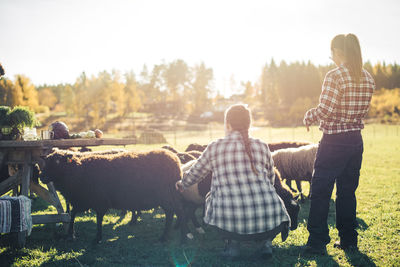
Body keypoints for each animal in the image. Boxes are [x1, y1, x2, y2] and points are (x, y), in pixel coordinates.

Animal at [40, 149, 189, 245]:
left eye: (57, 162)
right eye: (46, 162)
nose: (41, 177)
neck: (78, 171)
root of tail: (176, 161)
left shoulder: (99, 200)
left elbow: (98, 218)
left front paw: (97, 238)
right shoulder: (83, 200)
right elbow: (73, 213)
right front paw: (71, 234)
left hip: (167, 194)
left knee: (178, 213)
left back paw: (177, 238)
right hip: (168, 196)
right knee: (175, 213)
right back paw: (171, 236)